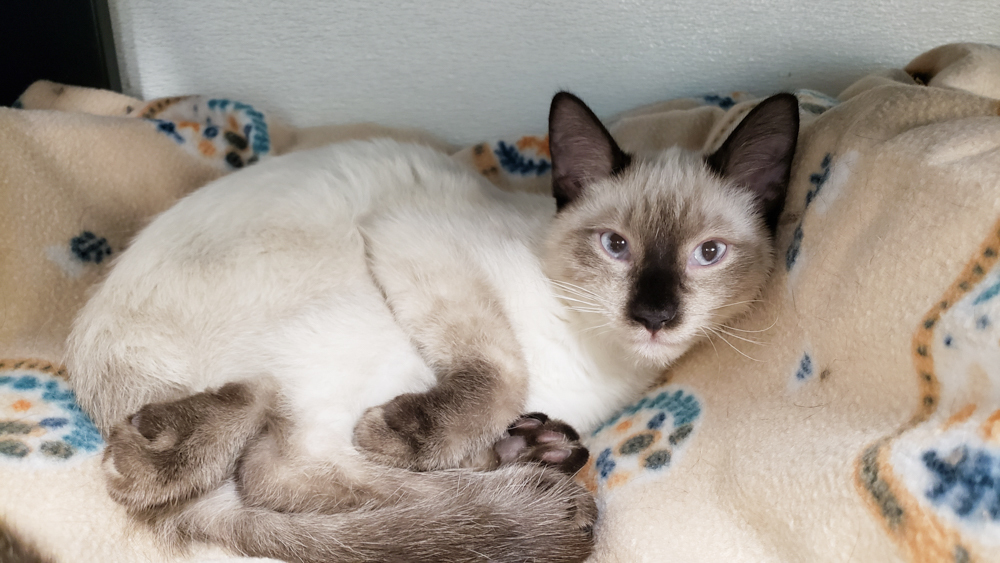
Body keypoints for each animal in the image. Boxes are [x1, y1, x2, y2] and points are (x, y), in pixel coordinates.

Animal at [66, 92, 800, 563]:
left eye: (709, 254)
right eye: (615, 246)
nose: (653, 317)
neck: (598, 357)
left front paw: (507, 440)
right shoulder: (417, 243)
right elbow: (500, 372)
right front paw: (417, 434)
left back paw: (535, 452)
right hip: (355, 316)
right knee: (273, 465)